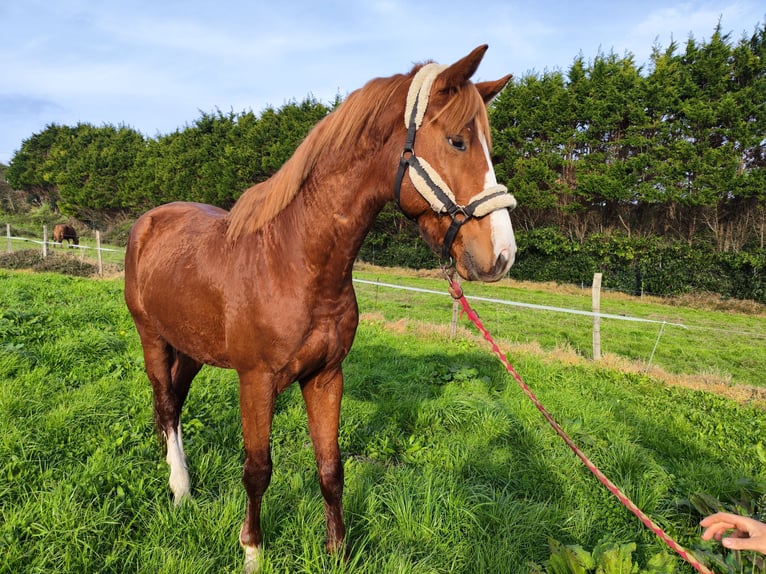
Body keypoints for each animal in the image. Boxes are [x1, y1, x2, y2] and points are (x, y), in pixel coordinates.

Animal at [126, 45, 520, 572]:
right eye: (457, 142)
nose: (501, 255)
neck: (295, 261)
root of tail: (148, 221)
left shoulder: (327, 376)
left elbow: (331, 467)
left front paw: (338, 551)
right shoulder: (256, 381)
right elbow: (257, 469)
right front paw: (252, 550)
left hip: (190, 346)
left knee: (174, 401)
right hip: (151, 337)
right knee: (167, 404)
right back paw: (181, 489)